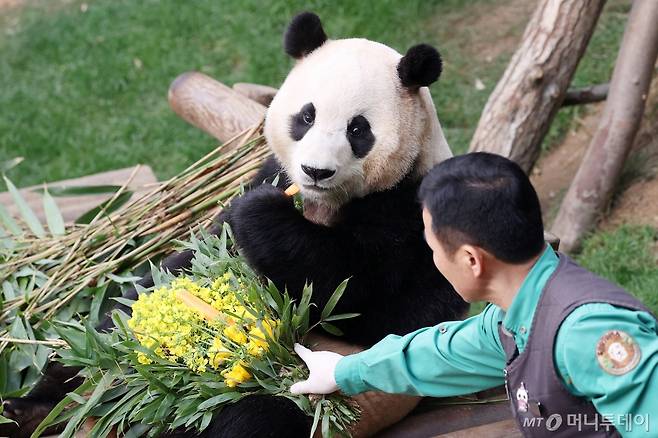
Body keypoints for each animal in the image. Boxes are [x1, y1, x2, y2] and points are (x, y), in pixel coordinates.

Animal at [2, 10, 468, 438]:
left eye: (358, 129)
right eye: (306, 117)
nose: (315, 171)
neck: (322, 203)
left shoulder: (410, 212)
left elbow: (368, 300)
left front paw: (262, 216)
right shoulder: (269, 174)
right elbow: (196, 253)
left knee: (253, 419)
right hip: (106, 347)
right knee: (101, 335)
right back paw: (34, 409)